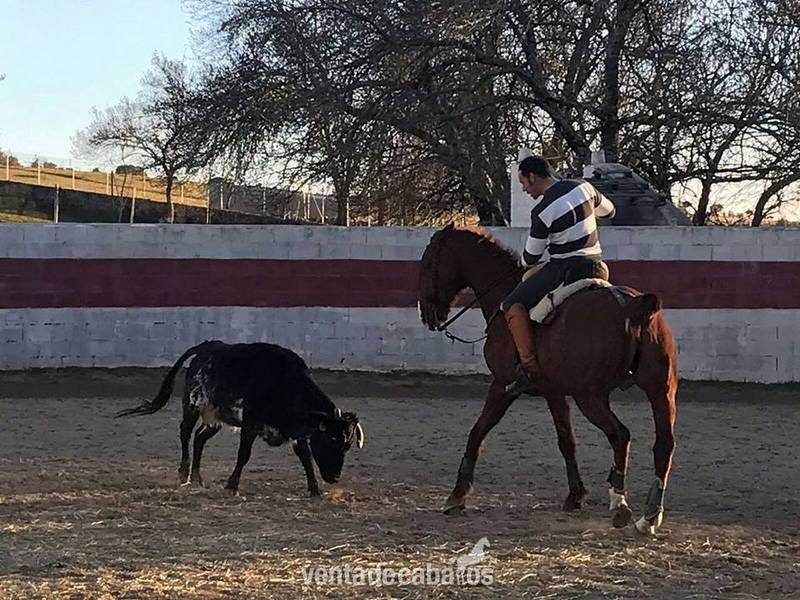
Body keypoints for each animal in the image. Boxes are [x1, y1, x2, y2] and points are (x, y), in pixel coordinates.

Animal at [418, 224, 677, 535]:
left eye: (428, 263)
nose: (426, 313)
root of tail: (633, 307)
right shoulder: (555, 392)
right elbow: (567, 440)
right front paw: (575, 495)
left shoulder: (502, 386)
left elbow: (478, 433)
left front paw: (457, 495)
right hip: (661, 391)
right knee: (664, 444)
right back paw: (649, 516)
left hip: (591, 397)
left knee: (620, 435)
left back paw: (620, 504)